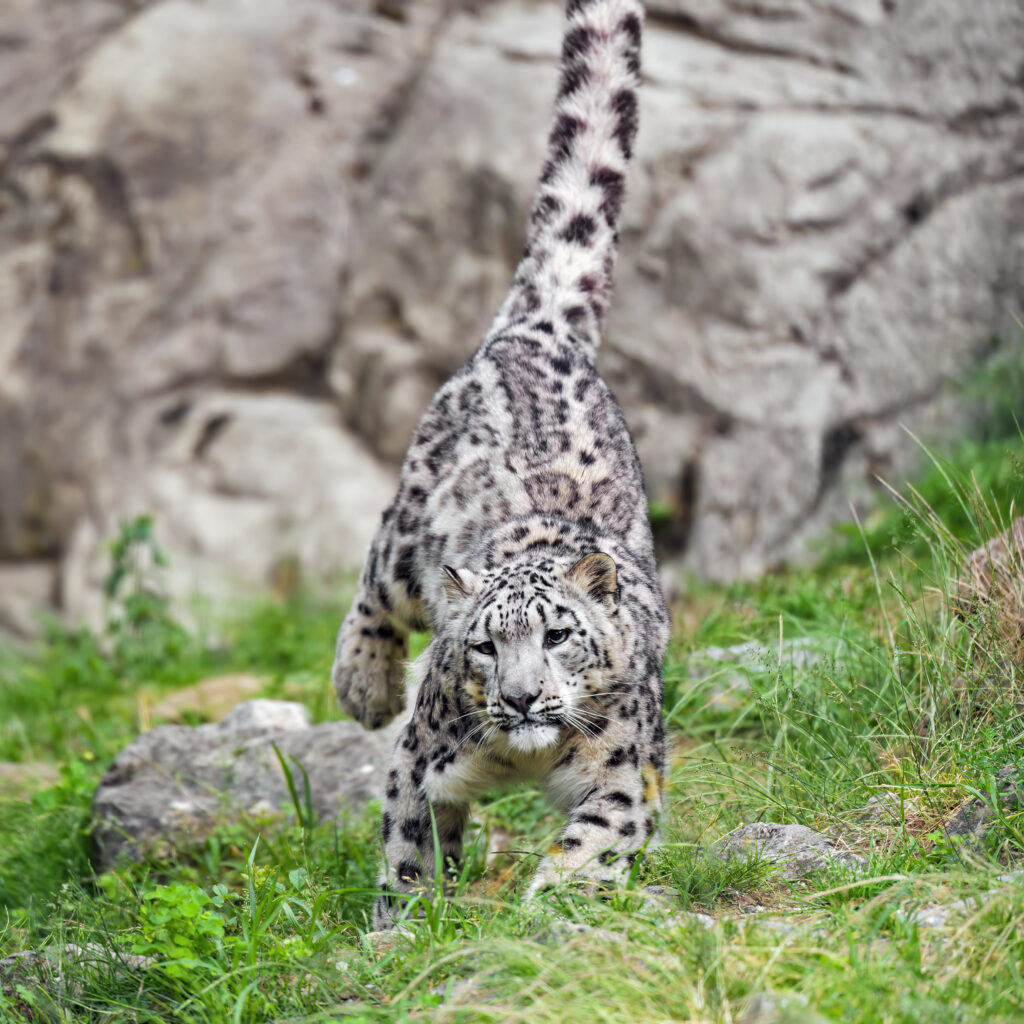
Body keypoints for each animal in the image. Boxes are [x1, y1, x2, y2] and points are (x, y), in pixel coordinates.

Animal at [331, 0, 669, 929]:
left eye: (558, 636)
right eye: (484, 647)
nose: (519, 698)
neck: (524, 758)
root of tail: (542, 327)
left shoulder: (627, 772)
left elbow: (595, 839)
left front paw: (555, 904)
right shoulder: (420, 761)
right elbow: (409, 847)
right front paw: (406, 927)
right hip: (411, 528)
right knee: (376, 584)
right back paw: (362, 683)